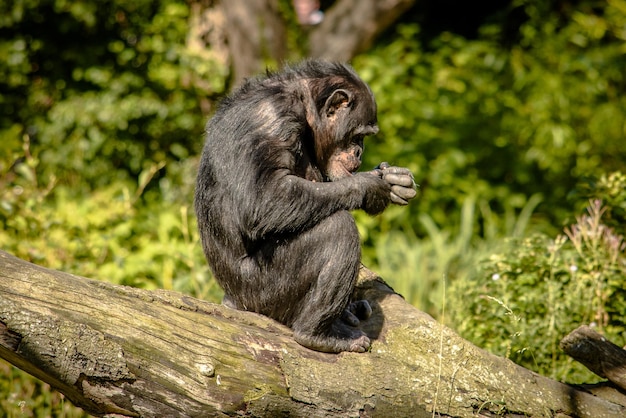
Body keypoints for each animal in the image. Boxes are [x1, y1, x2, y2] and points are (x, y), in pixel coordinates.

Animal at [195, 59, 416, 352]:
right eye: (358, 135)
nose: (360, 152)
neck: (304, 110)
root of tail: (231, 300)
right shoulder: (271, 120)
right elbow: (263, 198)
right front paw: (371, 186)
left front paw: (394, 180)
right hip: (261, 291)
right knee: (338, 228)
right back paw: (319, 335)